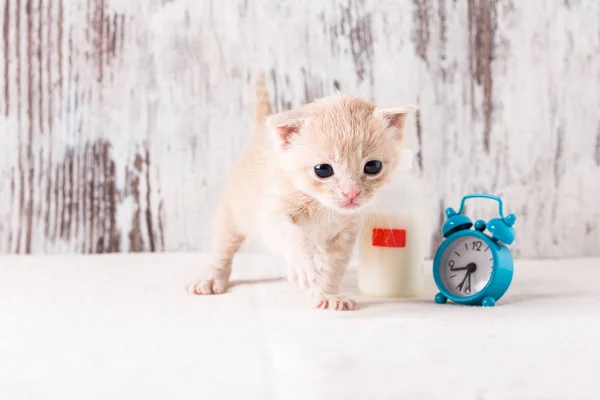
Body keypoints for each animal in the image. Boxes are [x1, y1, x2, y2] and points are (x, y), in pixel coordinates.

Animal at [189, 73, 412, 310]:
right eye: (323, 170)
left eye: (373, 167)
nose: (350, 193)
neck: (322, 206)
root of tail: (261, 132)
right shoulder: (271, 215)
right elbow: (293, 234)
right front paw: (306, 261)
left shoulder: (345, 235)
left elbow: (334, 269)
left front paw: (328, 295)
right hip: (231, 215)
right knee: (222, 249)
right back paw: (211, 278)